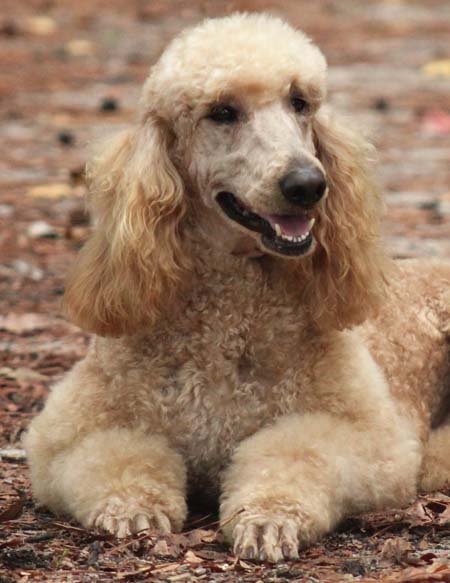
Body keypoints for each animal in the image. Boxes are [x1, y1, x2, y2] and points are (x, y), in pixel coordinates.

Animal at [25, 13, 450, 562]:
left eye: (299, 102)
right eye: (222, 112)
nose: (308, 185)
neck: (228, 313)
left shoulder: (369, 436)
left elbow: (293, 453)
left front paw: (268, 518)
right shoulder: (68, 434)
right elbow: (118, 456)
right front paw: (134, 508)